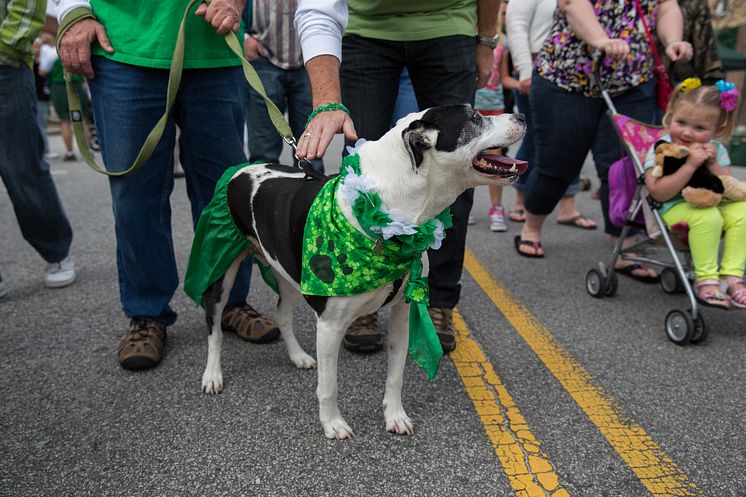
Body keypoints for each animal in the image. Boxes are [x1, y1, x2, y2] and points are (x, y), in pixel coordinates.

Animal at [196, 103, 524, 438]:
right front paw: (333, 424)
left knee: (283, 314)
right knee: (215, 327)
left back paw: (298, 356)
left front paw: (395, 416)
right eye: (473, 118)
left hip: (288, 275)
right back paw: (212, 375)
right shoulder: (329, 326)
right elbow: (329, 385)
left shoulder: (402, 314)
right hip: (220, 270)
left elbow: (395, 375)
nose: (522, 117)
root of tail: (242, 169)